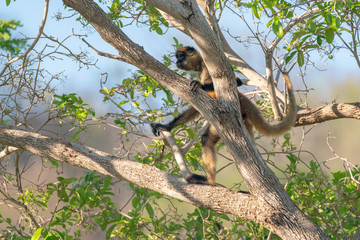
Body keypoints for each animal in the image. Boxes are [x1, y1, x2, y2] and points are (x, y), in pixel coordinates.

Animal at [150, 47, 296, 186]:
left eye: (180, 56)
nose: (177, 61)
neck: (200, 66)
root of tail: (241, 99)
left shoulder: (206, 67)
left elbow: (237, 81)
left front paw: (200, 85)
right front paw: (166, 126)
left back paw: (209, 181)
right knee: (207, 139)